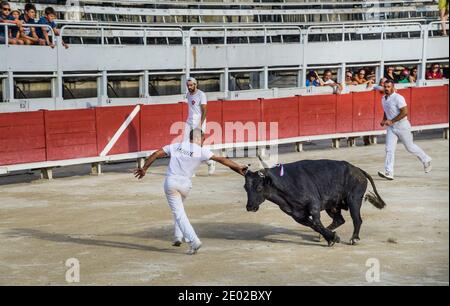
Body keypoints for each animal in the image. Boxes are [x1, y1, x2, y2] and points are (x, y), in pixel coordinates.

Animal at [243, 159, 386, 247]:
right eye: (245, 187)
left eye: (259, 188)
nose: (249, 207)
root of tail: (358, 170)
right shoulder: (297, 215)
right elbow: (314, 225)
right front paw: (330, 237)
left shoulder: (314, 205)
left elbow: (316, 222)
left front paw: (333, 238)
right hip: (333, 206)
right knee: (339, 220)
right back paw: (324, 236)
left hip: (354, 200)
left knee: (357, 219)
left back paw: (354, 238)